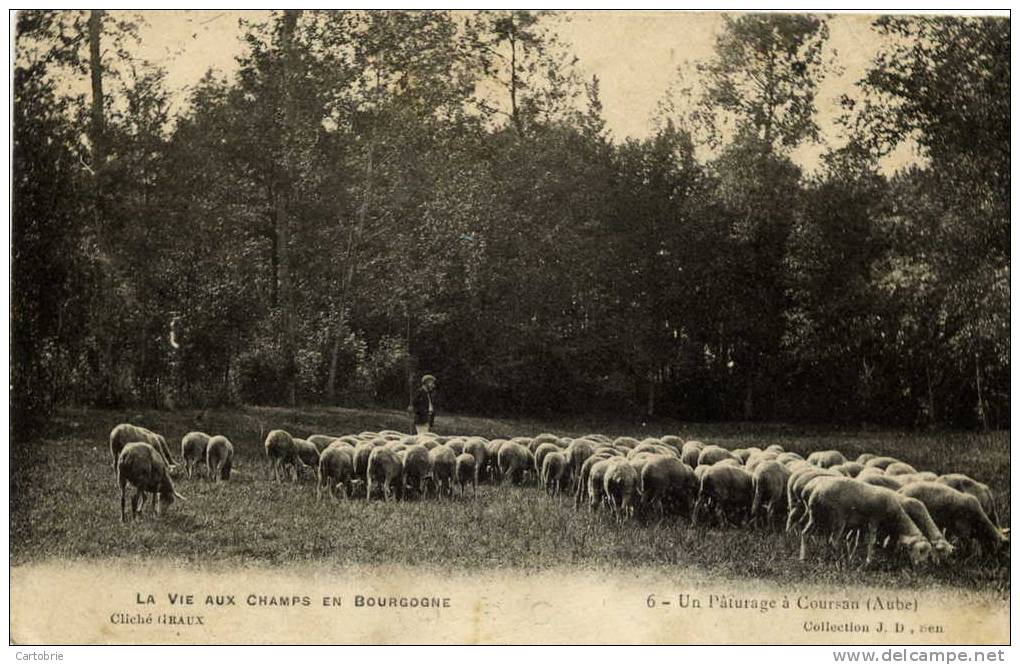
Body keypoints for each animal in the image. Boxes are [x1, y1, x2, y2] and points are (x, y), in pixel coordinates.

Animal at [799, 477, 934, 567]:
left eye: (928, 552)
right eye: (920, 551)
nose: (923, 566)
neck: (895, 515)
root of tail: (815, 491)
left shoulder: (862, 525)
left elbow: (856, 542)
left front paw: (852, 557)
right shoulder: (874, 520)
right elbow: (872, 541)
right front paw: (869, 561)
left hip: (815, 516)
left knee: (805, 533)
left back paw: (804, 558)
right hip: (838, 517)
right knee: (834, 540)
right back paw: (839, 562)